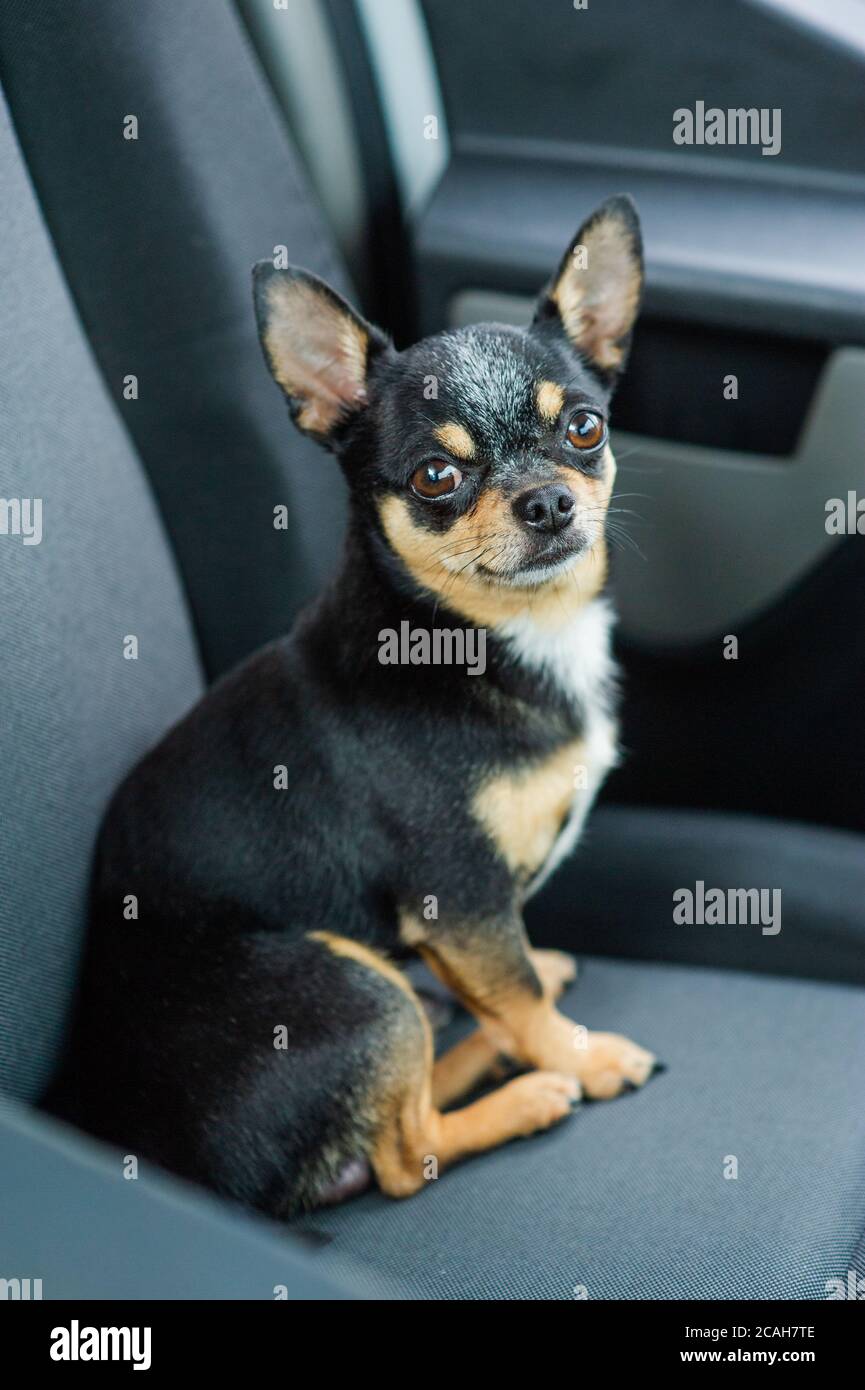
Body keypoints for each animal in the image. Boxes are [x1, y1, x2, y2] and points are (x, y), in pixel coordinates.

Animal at [52, 193, 656, 1217]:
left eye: (583, 428)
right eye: (434, 479)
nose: (545, 502)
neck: (489, 637)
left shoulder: (471, 919)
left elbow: (515, 980)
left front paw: (534, 1003)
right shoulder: (458, 896)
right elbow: (518, 995)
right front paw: (584, 1057)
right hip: (347, 985)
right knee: (401, 1157)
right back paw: (528, 1089)